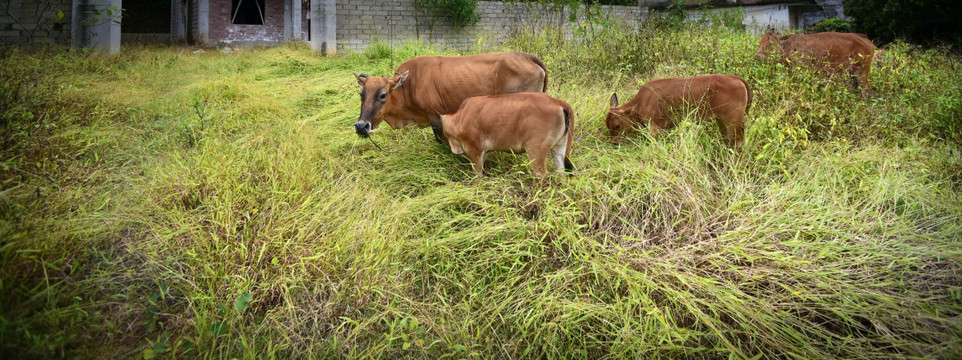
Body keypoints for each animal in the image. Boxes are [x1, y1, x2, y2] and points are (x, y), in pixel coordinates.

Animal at [352, 51, 548, 141]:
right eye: (361, 94)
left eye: (383, 95)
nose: (361, 126)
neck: (409, 85)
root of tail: (525, 56)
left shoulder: (436, 115)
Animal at [440, 93, 572, 177]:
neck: (459, 117)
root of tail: (557, 101)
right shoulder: (484, 151)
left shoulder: (474, 149)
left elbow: (477, 174)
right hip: (560, 148)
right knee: (561, 172)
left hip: (535, 150)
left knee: (541, 175)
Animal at [604, 74, 752, 147]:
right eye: (608, 126)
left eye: (617, 125)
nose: (614, 143)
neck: (640, 102)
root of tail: (736, 78)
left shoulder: (655, 128)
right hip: (721, 121)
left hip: (733, 122)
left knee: (738, 144)